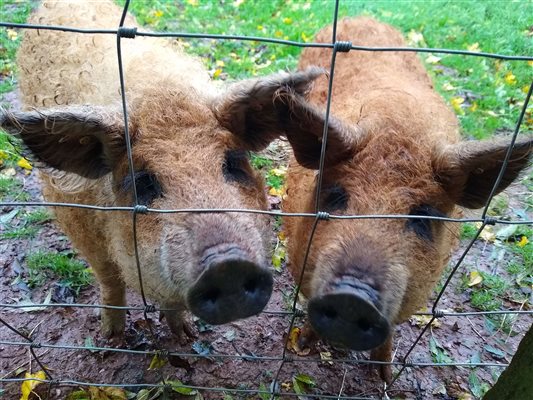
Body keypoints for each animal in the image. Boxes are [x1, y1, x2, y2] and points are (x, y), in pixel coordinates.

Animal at [0, 0, 328, 340]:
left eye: (233, 162)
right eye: (143, 182)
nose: (227, 266)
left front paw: (186, 335)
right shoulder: (76, 221)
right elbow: (109, 279)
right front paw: (111, 337)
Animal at [282, 17, 532, 382]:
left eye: (423, 216)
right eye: (337, 196)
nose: (352, 297)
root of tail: (363, 15)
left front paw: (385, 378)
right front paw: (302, 346)